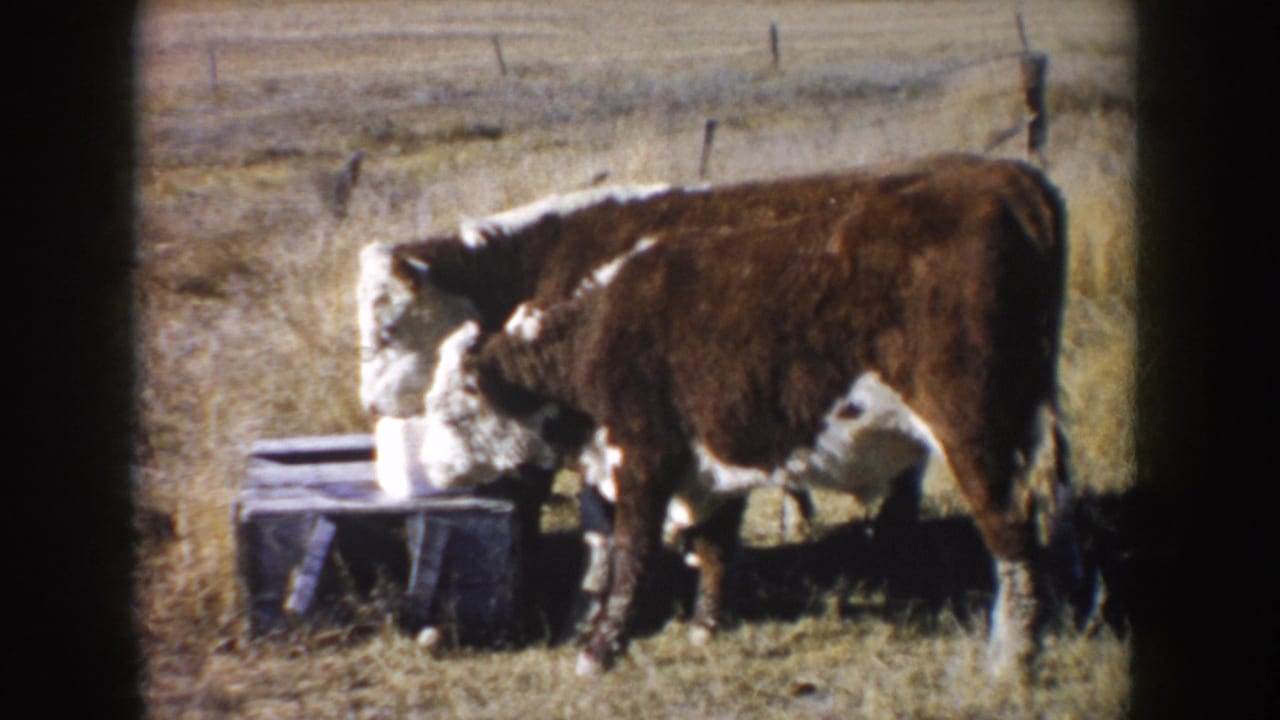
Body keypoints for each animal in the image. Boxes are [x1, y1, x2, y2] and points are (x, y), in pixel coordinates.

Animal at [357, 153, 1075, 679]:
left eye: (387, 326)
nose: (370, 404)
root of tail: (1013, 180)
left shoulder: (635, 451)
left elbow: (617, 544)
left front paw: (590, 635)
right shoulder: (698, 456)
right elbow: (707, 541)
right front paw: (700, 624)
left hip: (974, 431)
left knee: (1008, 529)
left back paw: (1010, 657)